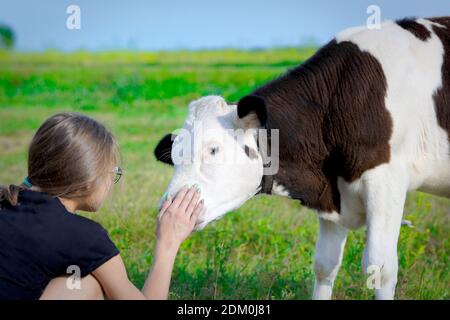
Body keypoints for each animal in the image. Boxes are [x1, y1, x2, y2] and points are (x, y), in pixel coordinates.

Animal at [156, 16, 450, 298]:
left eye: (213, 149)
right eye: (175, 156)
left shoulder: (387, 181)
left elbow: (381, 268)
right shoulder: (332, 197)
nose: (166, 207)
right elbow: (324, 266)